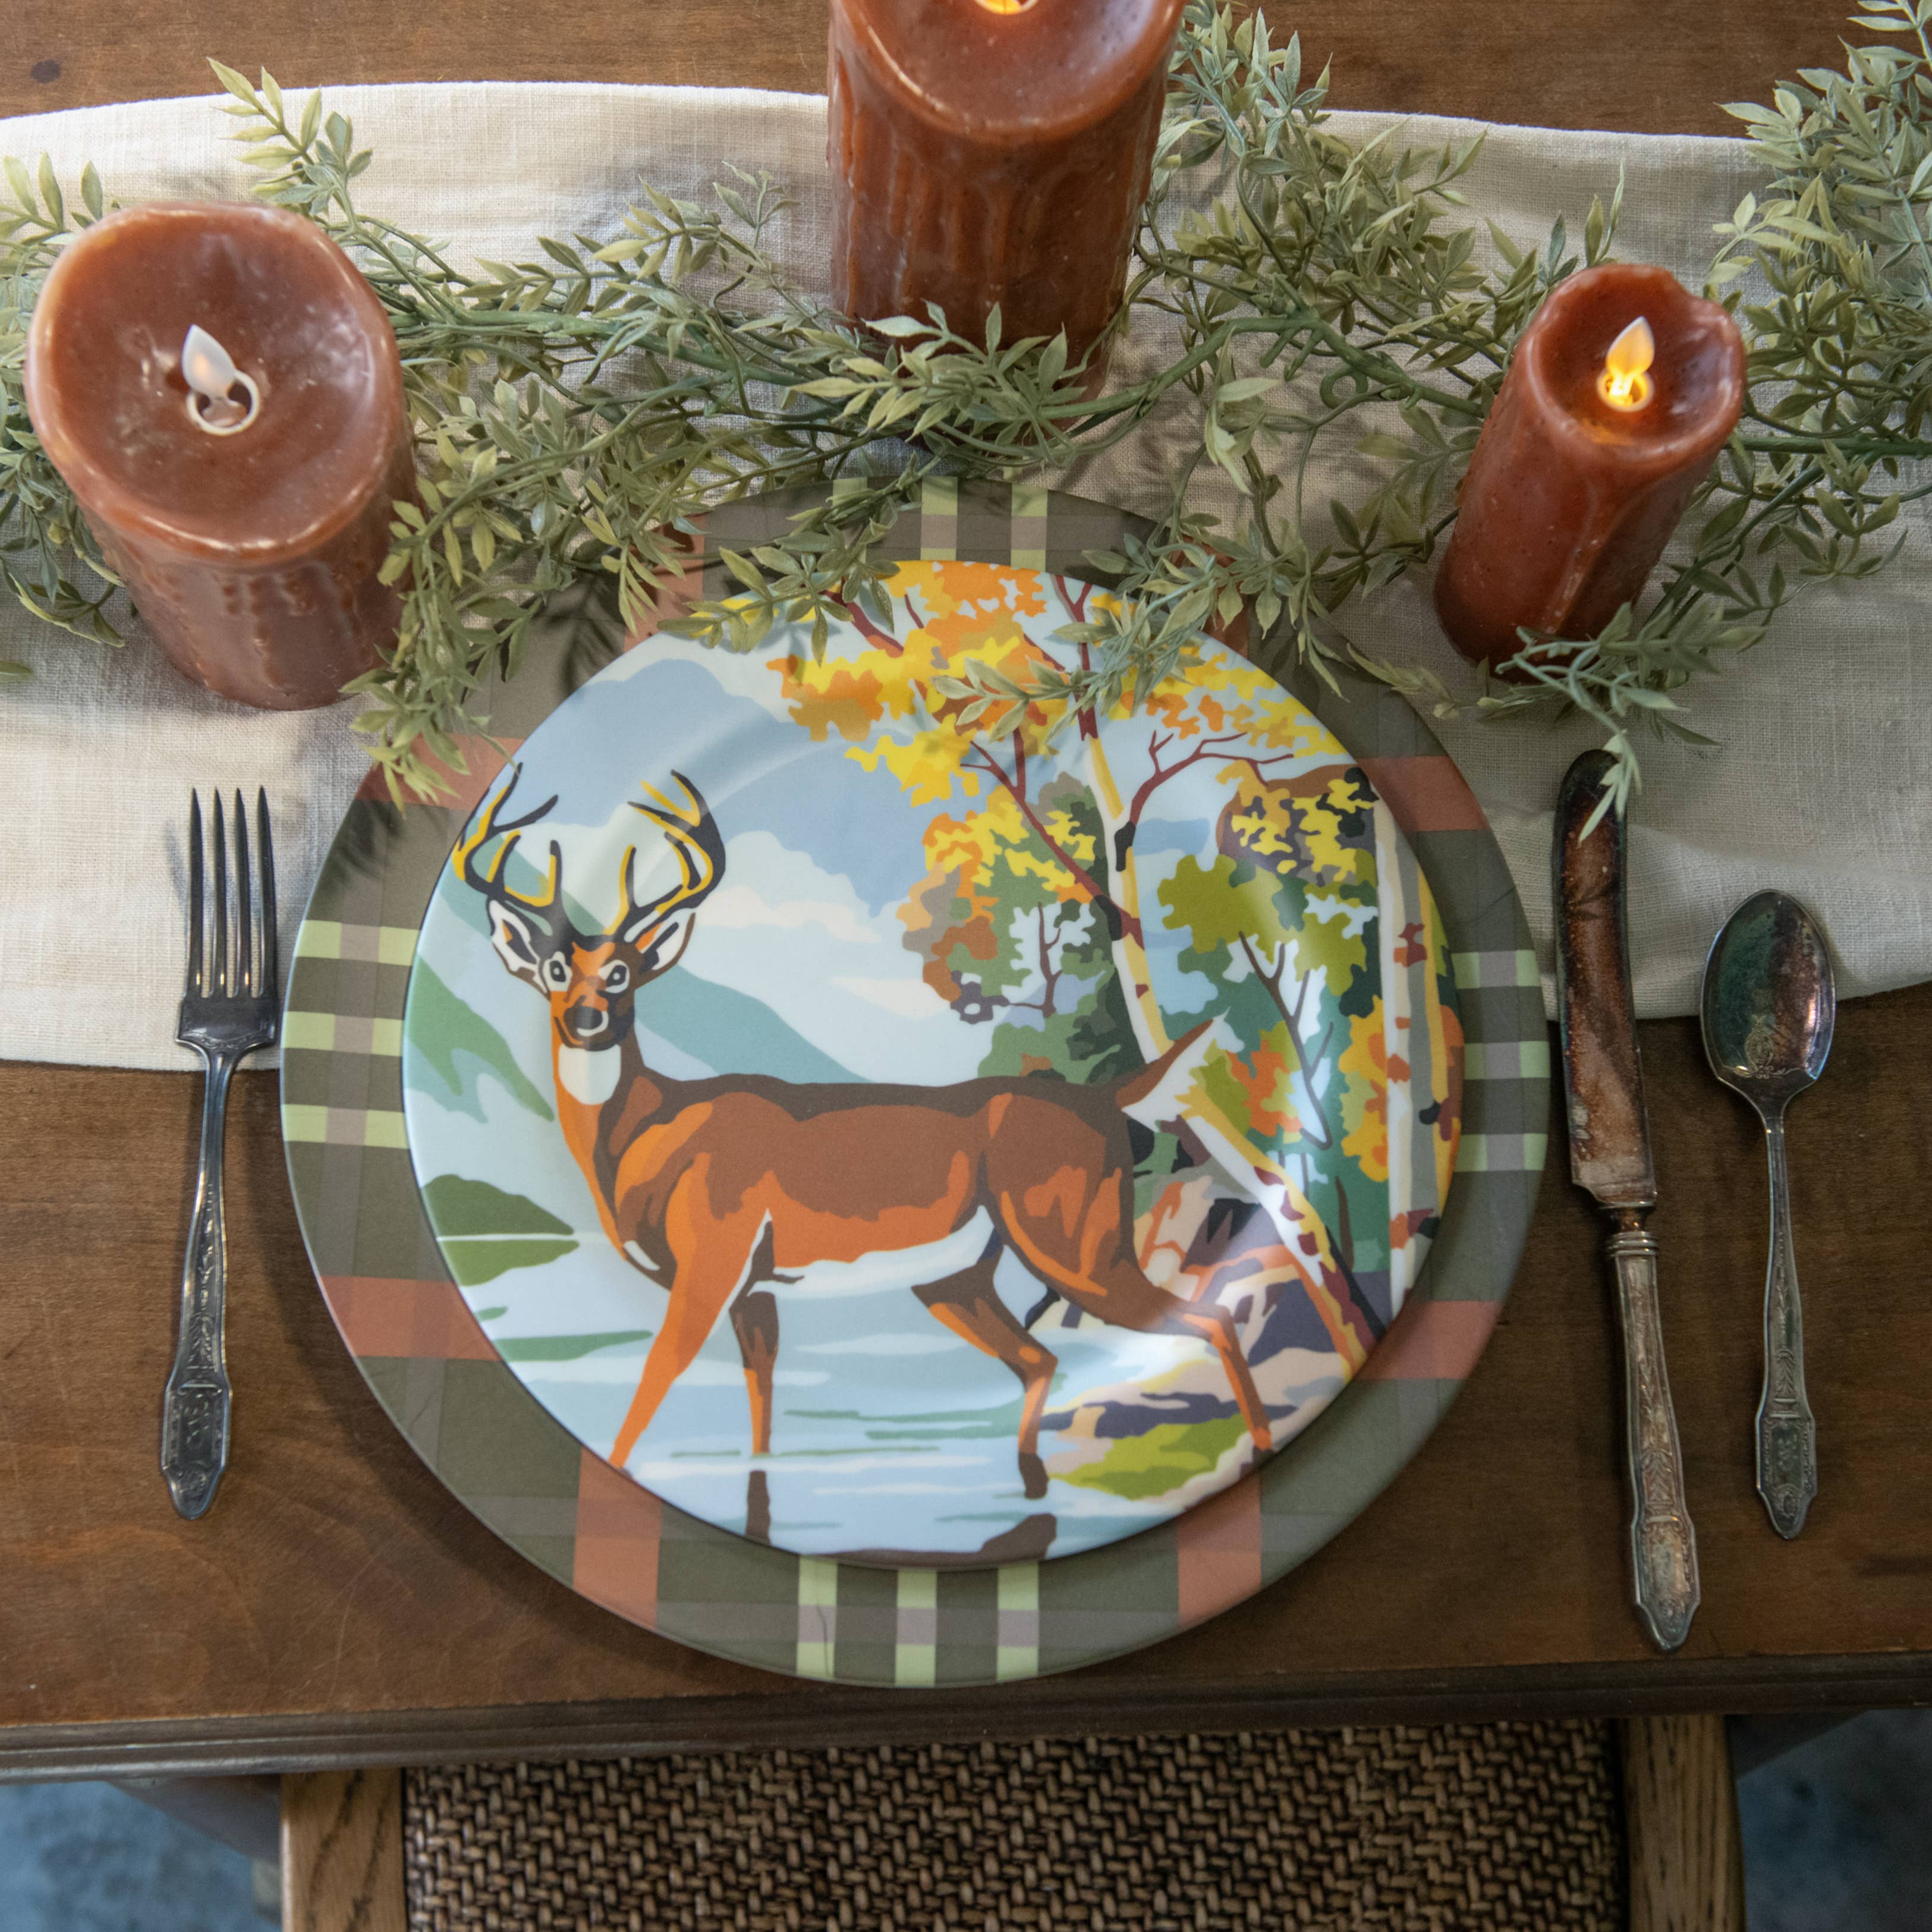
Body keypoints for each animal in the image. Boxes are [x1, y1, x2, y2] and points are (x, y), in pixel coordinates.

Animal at [454, 765, 1274, 1504]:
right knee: (1040, 1358)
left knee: (1204, 1318)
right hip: (957, 1276)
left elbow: (649, 1391)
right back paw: (1031, 1486)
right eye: (555, 968)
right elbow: (760, 1420)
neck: (643, 1132)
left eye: (622, 971)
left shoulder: (712, 1256)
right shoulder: (755, 1288)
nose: (587, 1018)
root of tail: (1107, 1097)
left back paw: (1253, 1448)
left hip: (1073, 1235)